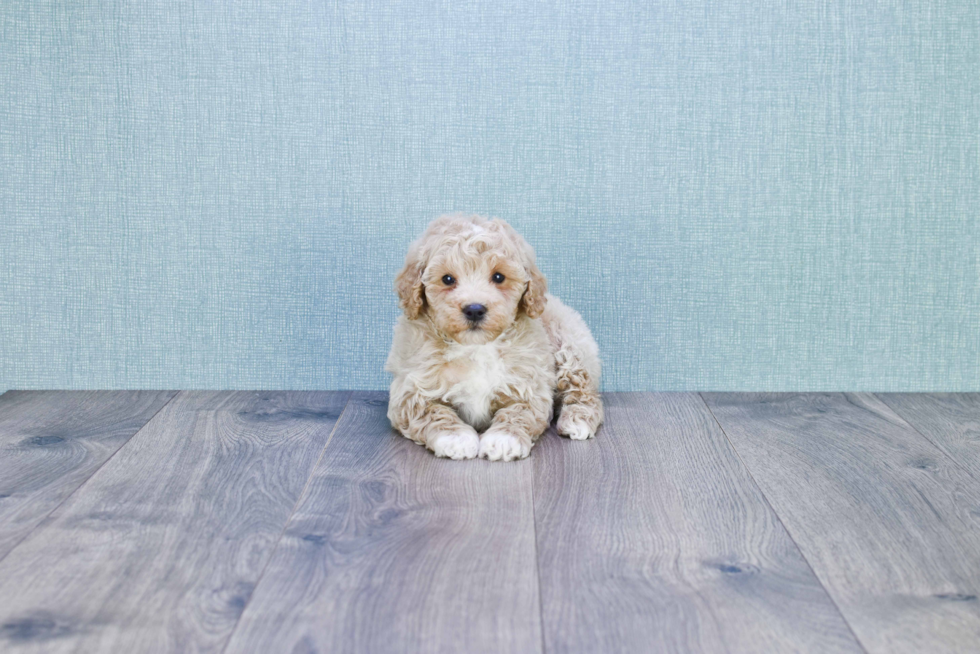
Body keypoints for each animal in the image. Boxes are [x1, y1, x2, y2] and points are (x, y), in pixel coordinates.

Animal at [384, 215, 600, 462]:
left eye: (498, 277)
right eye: (447, 279)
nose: (474, 309)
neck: (476, 347)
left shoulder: (530, 387)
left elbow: (518, 412)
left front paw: (504, 440)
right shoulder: (410, 392)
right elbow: (434, 413)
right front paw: (455, 438)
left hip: (570, 345)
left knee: (583, 391)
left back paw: (577, 419)